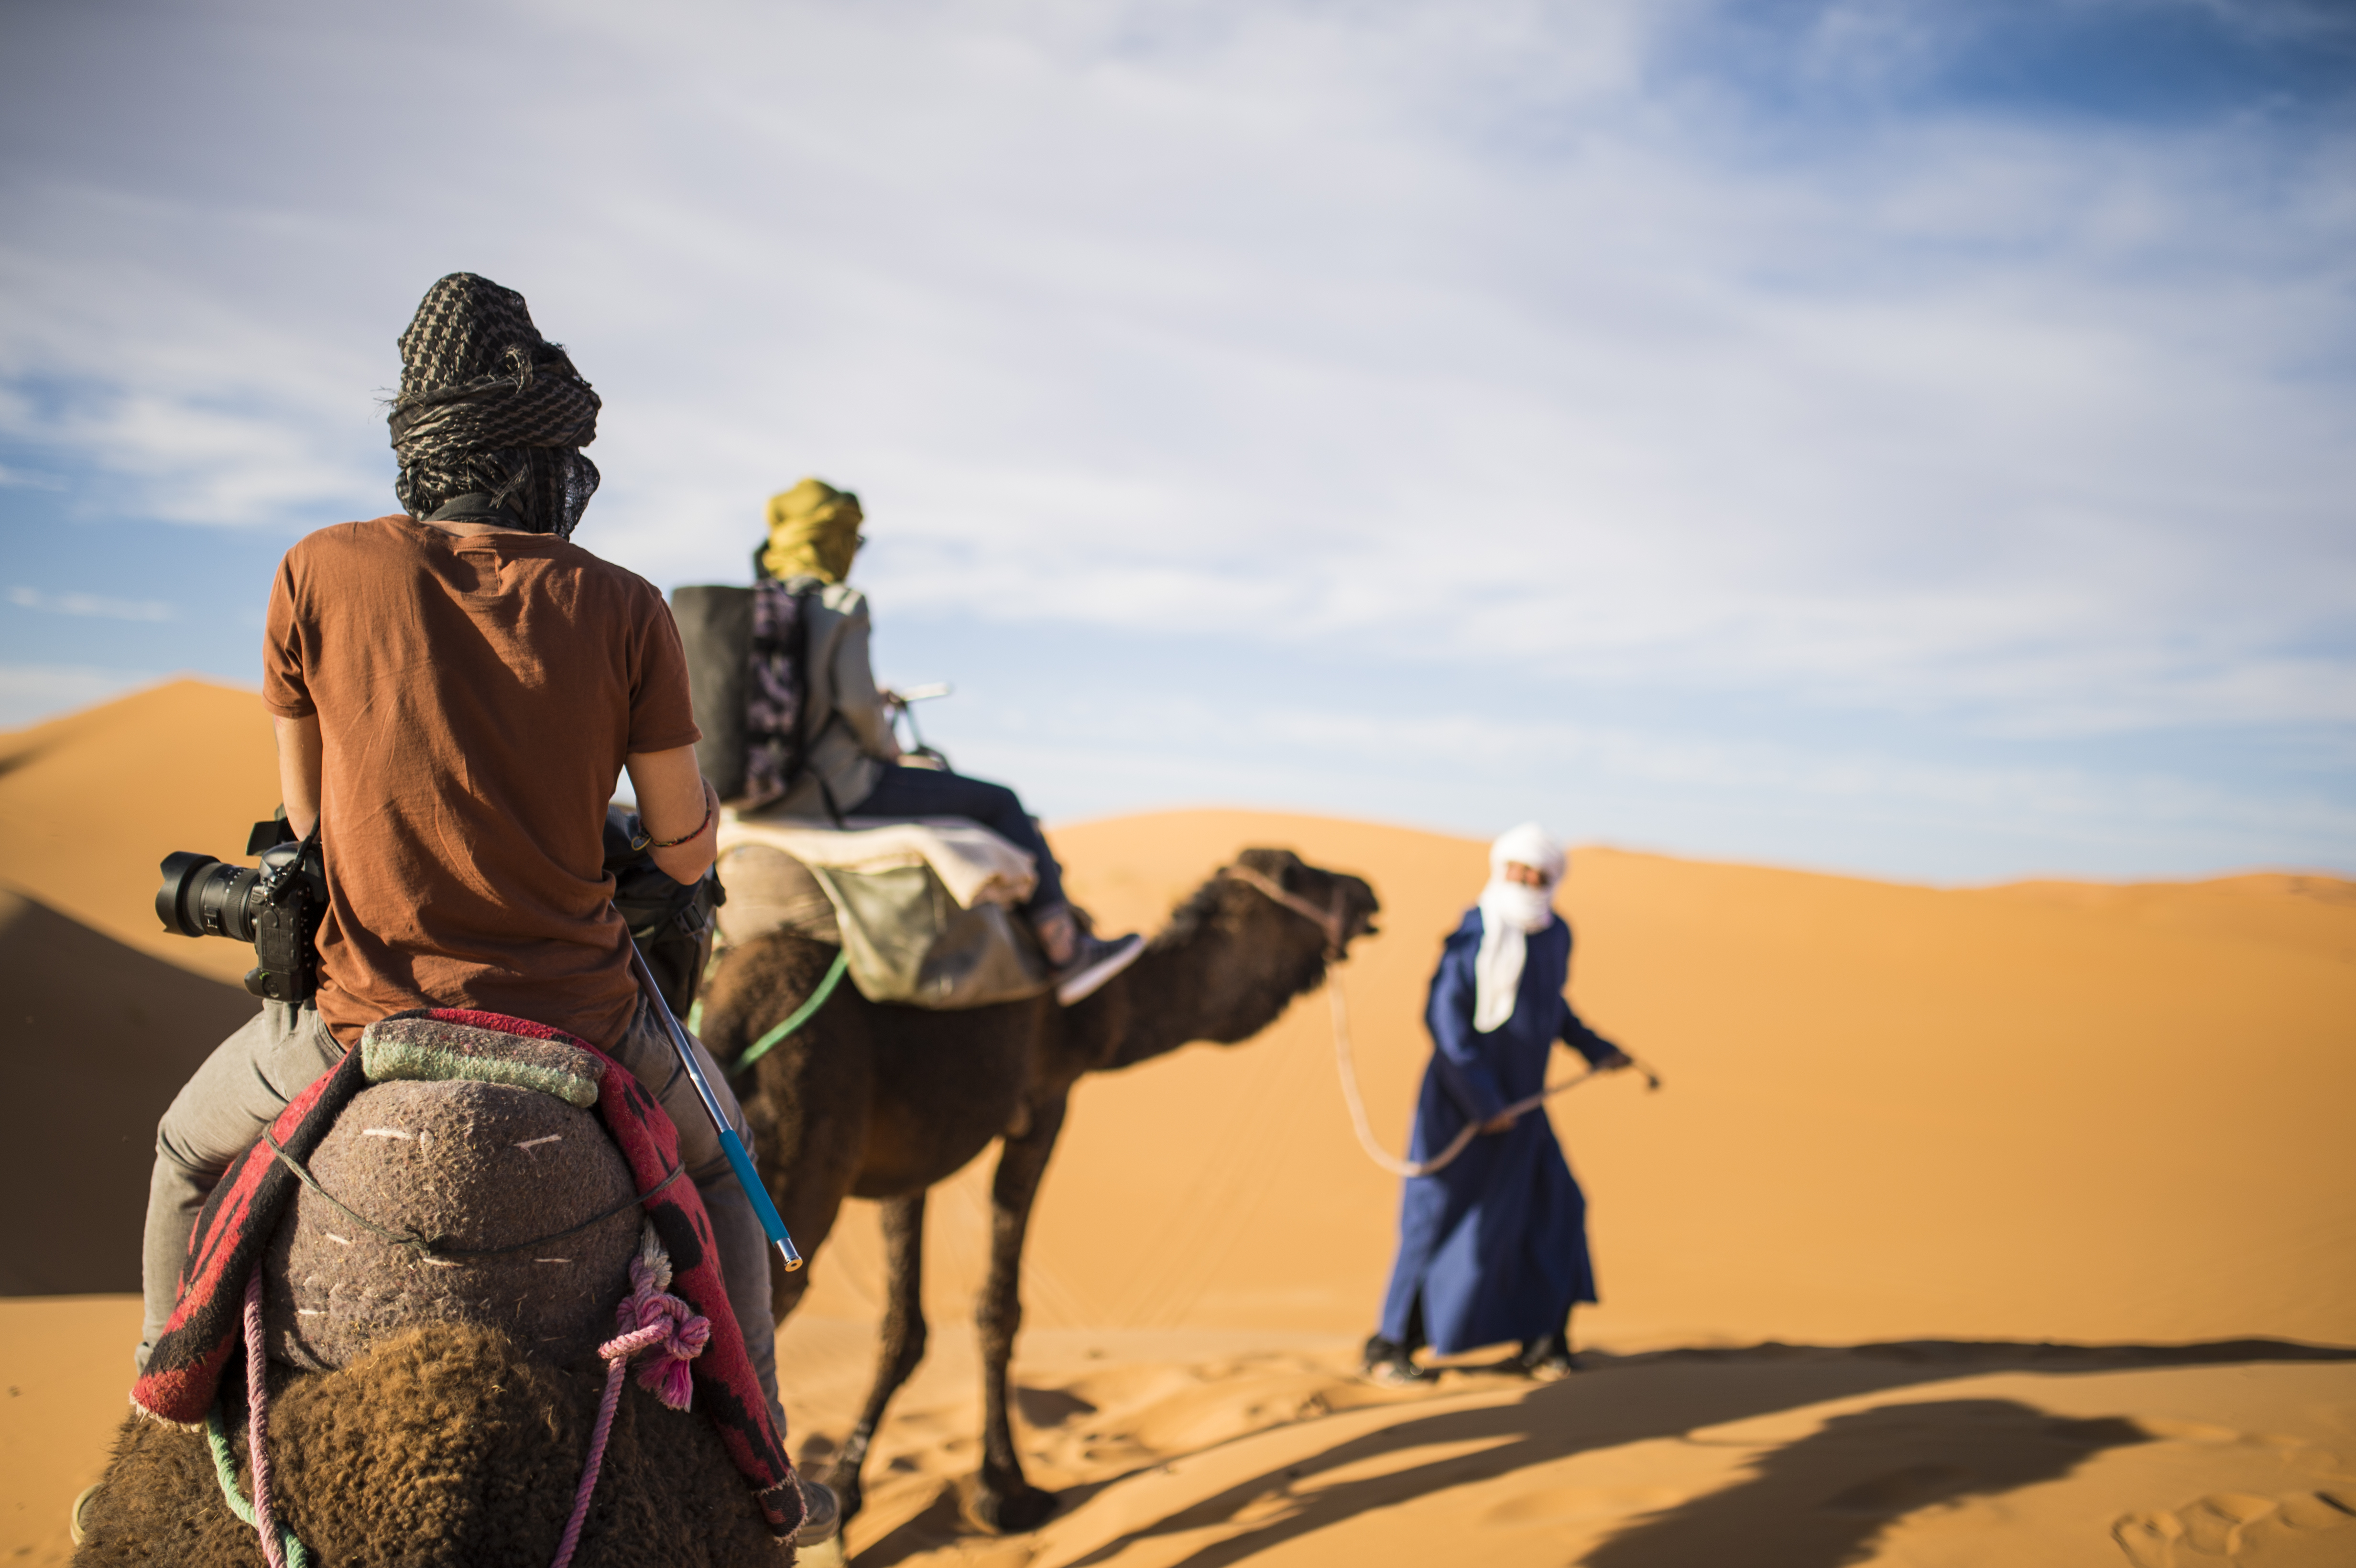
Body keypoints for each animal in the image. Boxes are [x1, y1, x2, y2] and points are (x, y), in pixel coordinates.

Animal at [694, 846, 1381, 1532]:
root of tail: (727, 1022)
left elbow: (900, 1323)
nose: (1367, 892)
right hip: (795, 1163)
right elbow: (998, 1306)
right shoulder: (1046, 1103)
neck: (1115, 1008)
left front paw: (846, 1483)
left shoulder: (911, 1150)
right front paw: (1006, 1489)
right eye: (1299, 873)